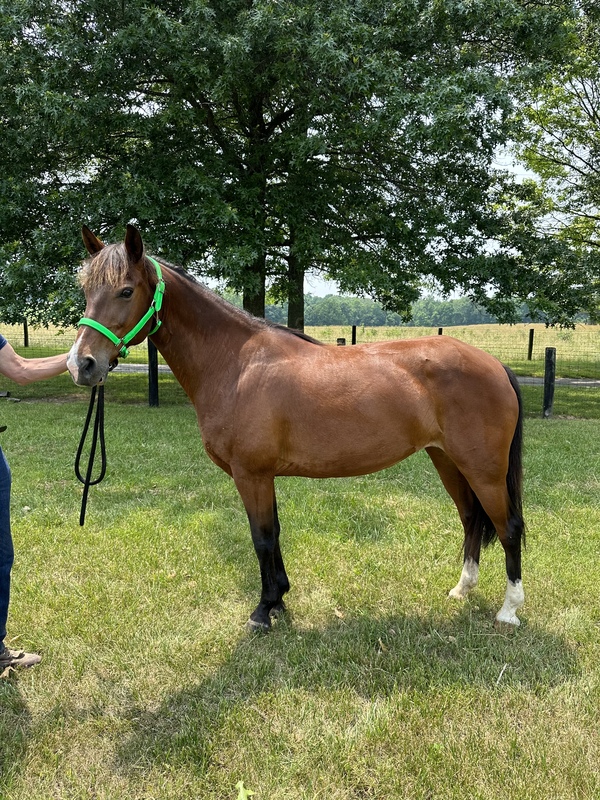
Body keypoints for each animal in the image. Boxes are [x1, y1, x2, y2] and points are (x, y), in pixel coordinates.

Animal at [67, 223, 524, 632]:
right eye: (86, 292)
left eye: (126, 290)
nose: (82, 364)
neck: (235, 364)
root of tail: (495, 365)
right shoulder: (263, 475)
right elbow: (274, 534)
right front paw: (279, 600)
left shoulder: (251, 474)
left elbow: (262, 538)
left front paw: (263, 610)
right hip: (447, 461)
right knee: (471, 518)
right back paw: (462, 590)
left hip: (483, 469)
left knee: (508, 527)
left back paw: (509, 611)